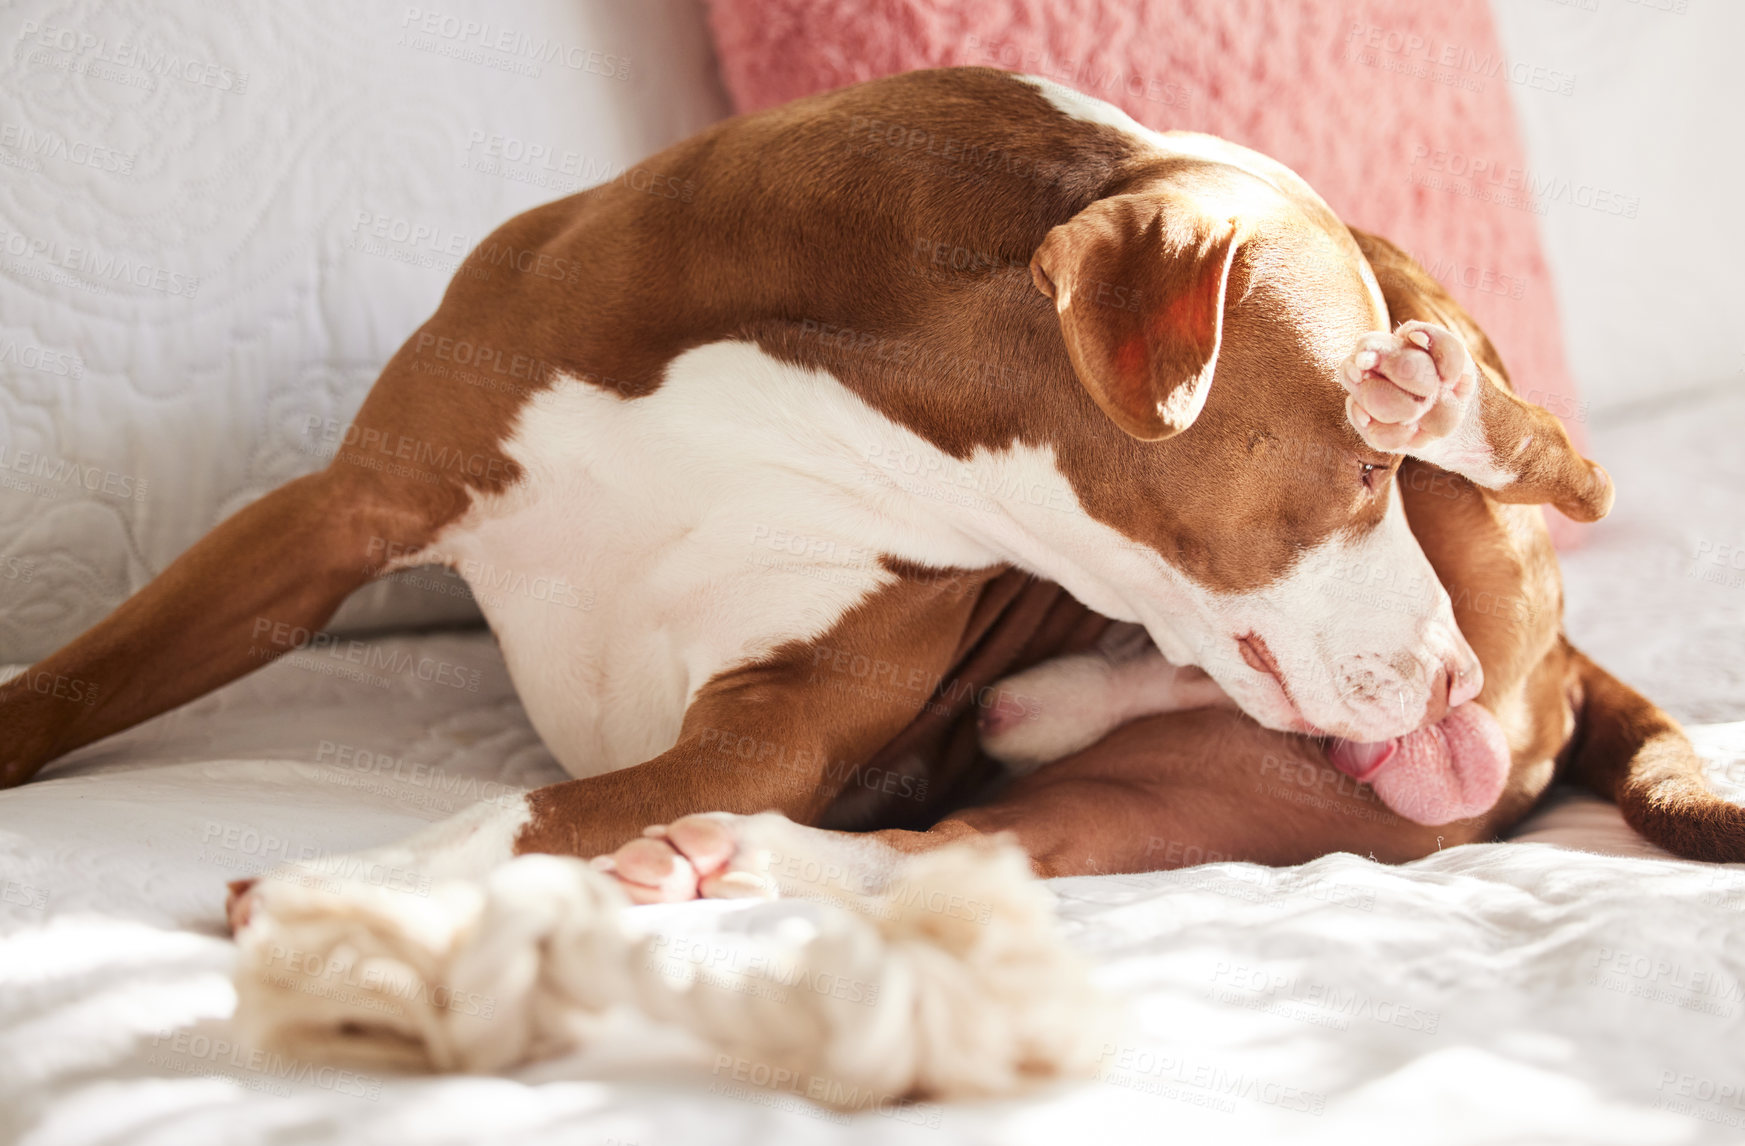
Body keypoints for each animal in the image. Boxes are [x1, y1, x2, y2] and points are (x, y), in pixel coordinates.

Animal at [0, 69, 1605, 914]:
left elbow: (534, 809)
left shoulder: (766, 733)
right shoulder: (332, 515)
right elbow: (79, 676)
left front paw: (358, 885)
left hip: (1228, 783)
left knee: (971, 851)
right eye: (1362, 474)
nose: (1443, 676)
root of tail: (1555, 686)